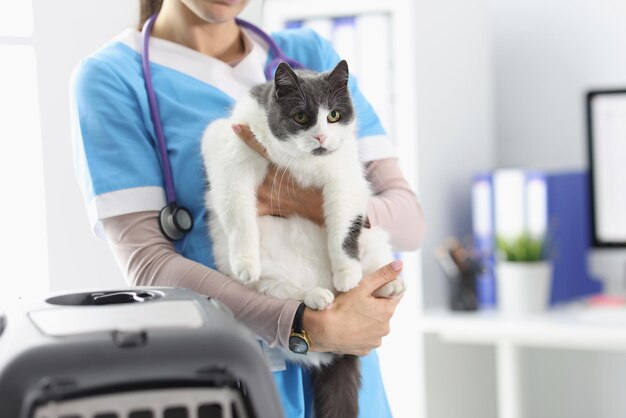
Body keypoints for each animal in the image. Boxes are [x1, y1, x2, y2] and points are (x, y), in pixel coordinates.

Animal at [200, 59, 404, 418]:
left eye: (334, 115)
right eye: (300, 117)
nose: (321, 135)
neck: (304, 162)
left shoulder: (345, 173)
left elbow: (343, 223)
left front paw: (347, 273)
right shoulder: (228, 143)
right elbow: (236, 206)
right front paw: (245, 260)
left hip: (375, 238)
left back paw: (386, 285)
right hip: (268, 282)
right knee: (280, 291)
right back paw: (316, 296)